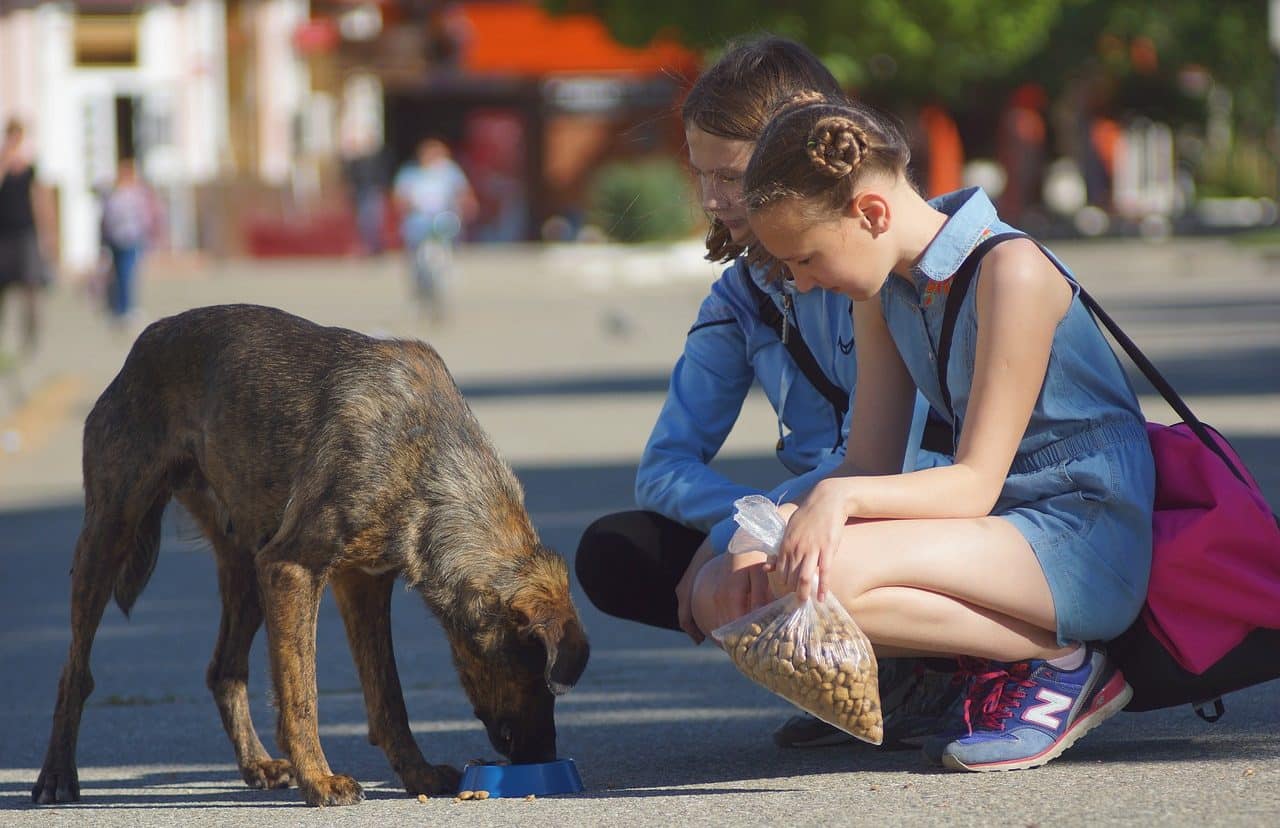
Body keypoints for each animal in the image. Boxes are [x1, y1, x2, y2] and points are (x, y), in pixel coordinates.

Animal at [30, 305, 588, 808]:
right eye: (538, 675)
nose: (543, 756)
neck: (426, 456)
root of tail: (142, 346)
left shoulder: (363, 582)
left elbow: (388, 696)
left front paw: (417, 773)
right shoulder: (293, 568)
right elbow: (303, 692)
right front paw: (319, 780)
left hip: (246, 566)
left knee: (224, 669)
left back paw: (256, 764)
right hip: (111, 532)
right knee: (74, 670)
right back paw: (57, 775)